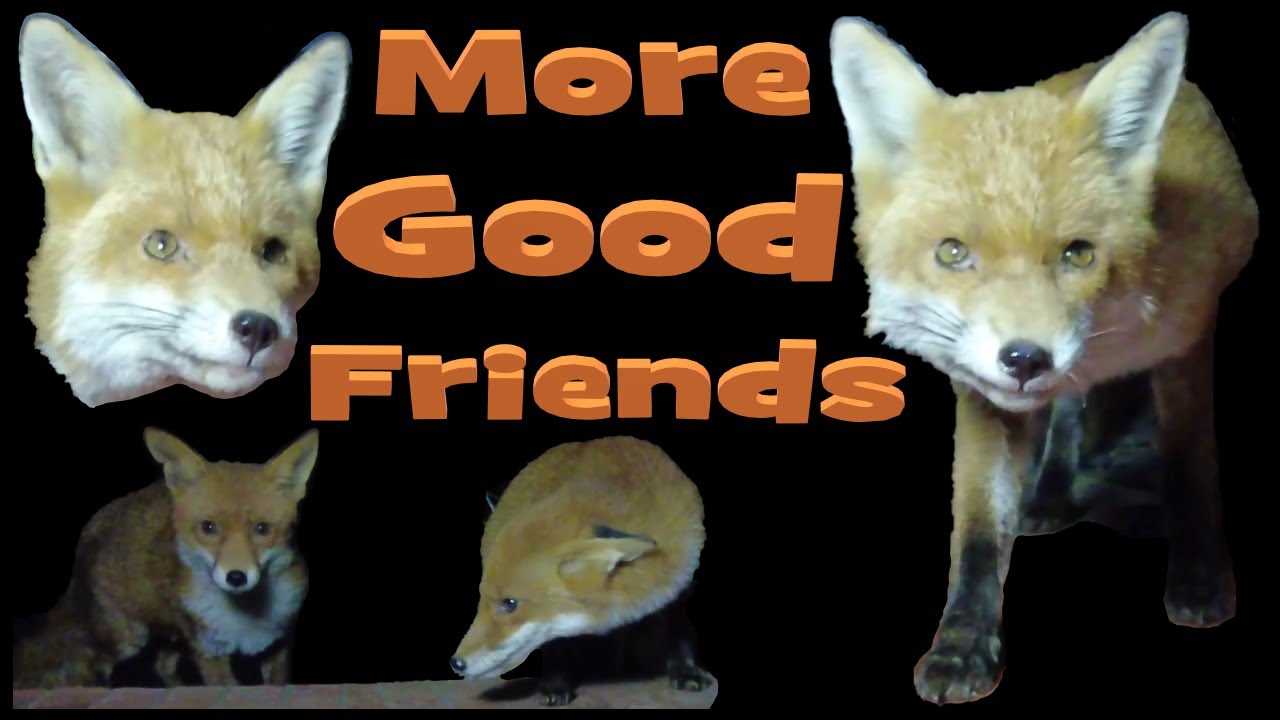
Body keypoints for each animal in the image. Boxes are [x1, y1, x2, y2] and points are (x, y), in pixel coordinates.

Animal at [11, 427, 320, 690]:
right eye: (208, 527)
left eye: (262, 529)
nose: (236, 577)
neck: (245, 617)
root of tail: (93, 526)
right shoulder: (208, 650)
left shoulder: (278, 644)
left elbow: (277, 683)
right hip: (127, 638)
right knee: (89, 665)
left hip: (170, 637)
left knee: (161, 665)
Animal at [450, 436, 714, 707]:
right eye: (482, 599)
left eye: (510, 603)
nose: (456, 663)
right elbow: (556, 646)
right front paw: (555, 684)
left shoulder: (679, 586)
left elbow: (678, 630)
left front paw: (687, 670)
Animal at [829, 13, 1258, 705]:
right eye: (952, 253)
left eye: (1078, 254)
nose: (1025, 358)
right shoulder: (982, 395)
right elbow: (978, 531)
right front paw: (964, 644)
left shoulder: (1189, 337)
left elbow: (1191, 462)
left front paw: (1198, 575)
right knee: (1069, 413)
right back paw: (1052, 491)